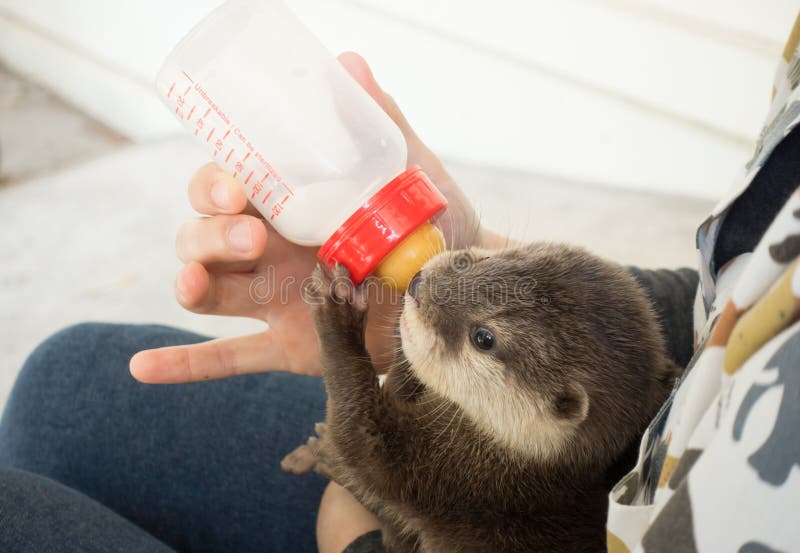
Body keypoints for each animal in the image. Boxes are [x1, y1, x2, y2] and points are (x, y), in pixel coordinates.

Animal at [284, 244, 680, 552]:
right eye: (479, 261)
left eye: (484, 338)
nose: (417, 284)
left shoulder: (453, 477)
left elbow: (363, 441)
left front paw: (338, 311)